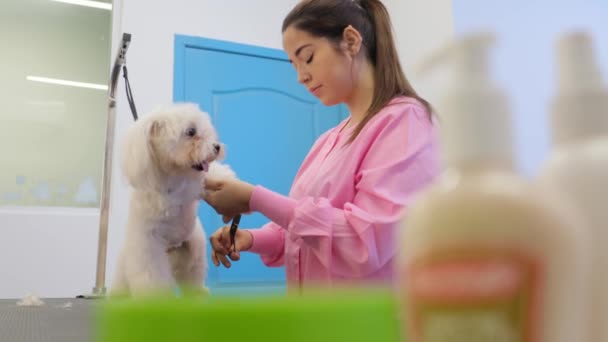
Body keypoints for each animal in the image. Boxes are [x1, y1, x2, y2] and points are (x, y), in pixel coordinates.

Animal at [110, 103, 234, 296]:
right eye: (191, 132)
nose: (216, 147)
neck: (172, 179)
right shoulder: (149, 247)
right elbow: (152, 278)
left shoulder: (194, 184)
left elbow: (212, 175)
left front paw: (229, 182)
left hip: (192, 253)